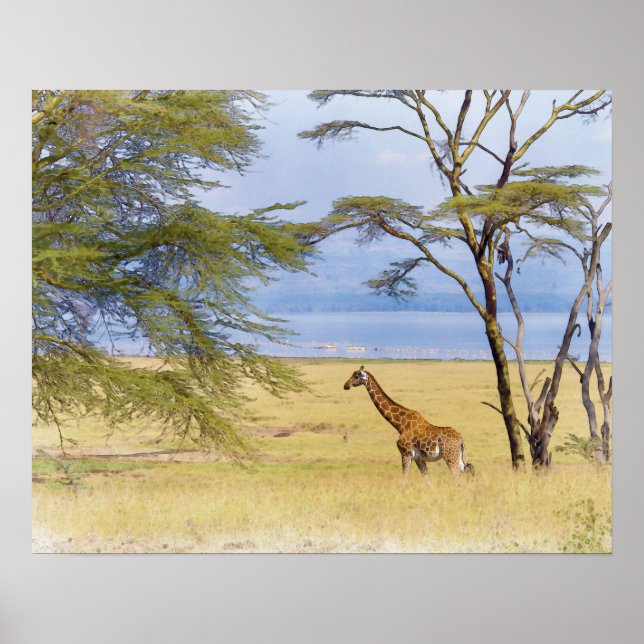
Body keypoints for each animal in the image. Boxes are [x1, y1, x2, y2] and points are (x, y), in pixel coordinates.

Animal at [343, 366, 474, 484]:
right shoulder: (419, 458)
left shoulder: (405, 453)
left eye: (356, 376)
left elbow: (404, 481)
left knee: (458, 476)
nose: (345, 385)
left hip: (450, 456)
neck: (400, 424)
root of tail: (461, 440)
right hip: (458, 457)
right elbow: (428, 481)